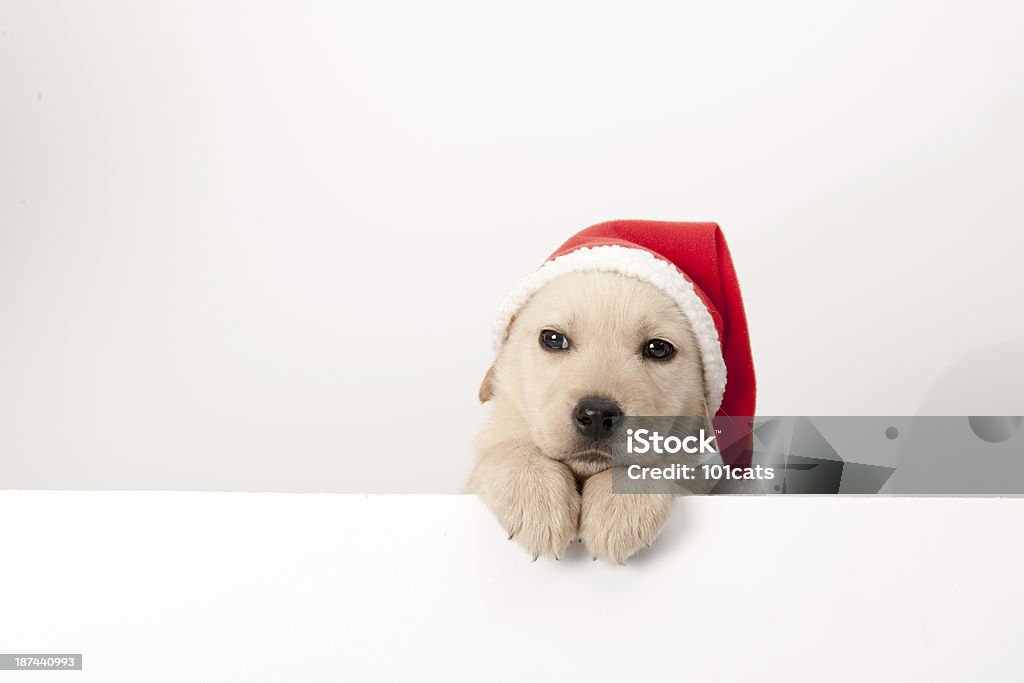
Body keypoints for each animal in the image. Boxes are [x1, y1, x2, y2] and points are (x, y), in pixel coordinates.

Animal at [468, 270, 708, 565]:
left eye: (658, 348)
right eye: (553, 339)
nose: (597, 415)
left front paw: (622, 502)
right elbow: (506, 448)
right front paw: (536, 497)